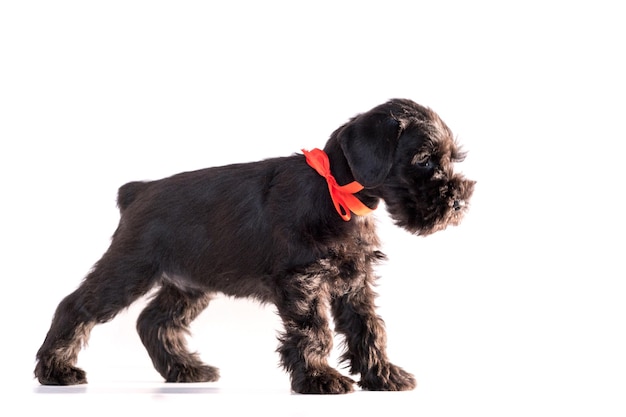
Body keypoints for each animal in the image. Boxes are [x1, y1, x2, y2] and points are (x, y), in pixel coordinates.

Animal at [34, 98, 472, 394]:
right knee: (76, 306)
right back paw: (55, 371)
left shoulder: (355, 282)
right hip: (128, 269)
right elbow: (314, 330)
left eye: (451, 159)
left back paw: (185, 370)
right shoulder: (303, 282)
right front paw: (319, 378)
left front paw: (383, 375)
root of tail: (139, 191)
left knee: (153, 321)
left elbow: (369, 329)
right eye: (424, 160)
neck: (335, 192)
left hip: (189, 284)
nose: (458, 201)